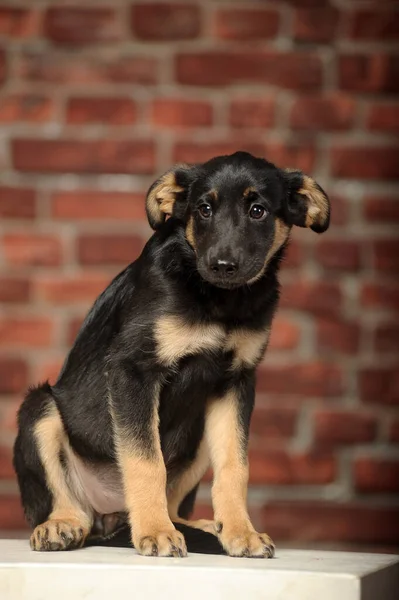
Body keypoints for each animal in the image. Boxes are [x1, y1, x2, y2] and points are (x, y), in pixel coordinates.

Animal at [13, 150, 332, 556]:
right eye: (204, 209)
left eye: (258, 210)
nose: (221, 266)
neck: (218, 300)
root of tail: (111, 520)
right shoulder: (132, 370)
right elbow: (146, 460)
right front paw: (155, 531)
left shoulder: (236, 381)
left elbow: (235, 465)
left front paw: (240, 532)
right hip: (39, 410)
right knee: (68, 505)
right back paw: (62, 525)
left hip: (197, 435)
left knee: (176, 502)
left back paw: (204, 526)